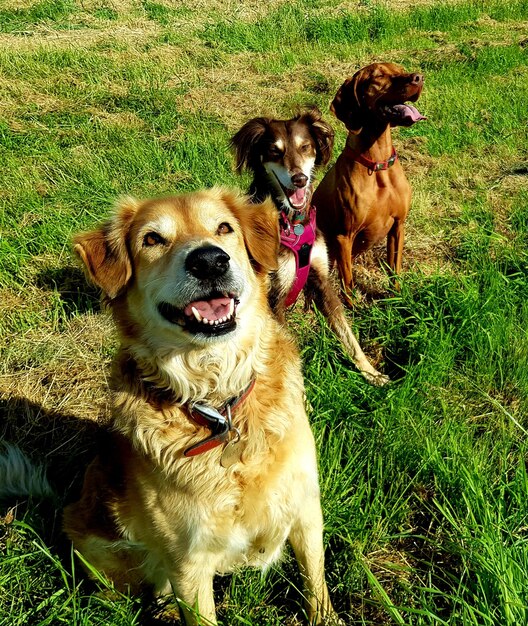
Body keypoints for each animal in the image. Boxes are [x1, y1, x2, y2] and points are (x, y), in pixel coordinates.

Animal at [63, 188, 342, 620]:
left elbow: (316, 585)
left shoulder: (306, 512)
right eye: (151, 239)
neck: (219, 401)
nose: (209, 260)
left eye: (224, 228)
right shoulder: (188, 564)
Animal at [231, 107, 388, 386]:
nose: (300, 179)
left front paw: (371, 372)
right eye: (274, 151)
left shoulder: (322, 279)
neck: (293, 223)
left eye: (305, 147)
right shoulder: (275, 297)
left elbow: (349, 336)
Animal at [312, 62, 426, 304]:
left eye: (401, 68)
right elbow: (348, 282)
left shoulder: (398, 226)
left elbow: (394, 269)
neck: (378, 164)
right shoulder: (344, 236)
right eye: (379, 76)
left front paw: (397, 298)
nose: (419, 78)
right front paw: (353, 308)